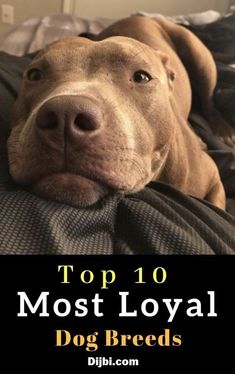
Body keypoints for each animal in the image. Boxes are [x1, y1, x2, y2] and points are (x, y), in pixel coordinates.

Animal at [7, 16, 226, 209]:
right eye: (35, 75)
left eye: (141, 77)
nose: (65, 114)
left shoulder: (214, 178)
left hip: (199, 56)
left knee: (209, 100)